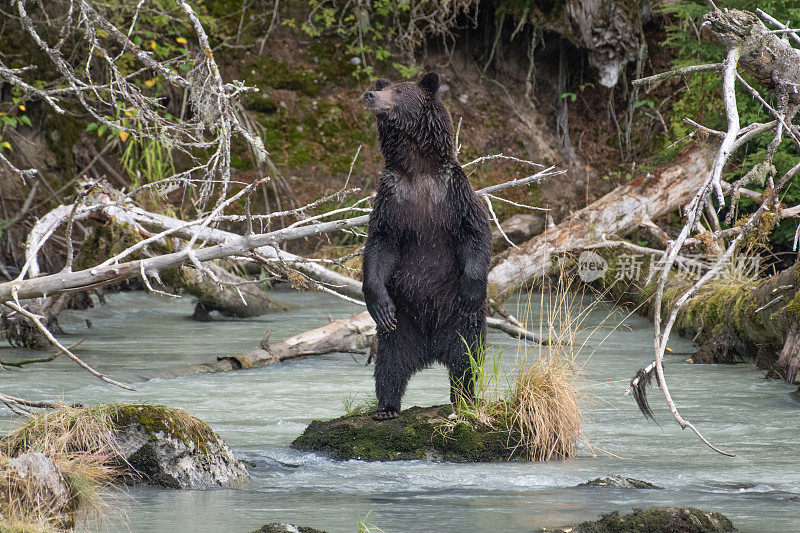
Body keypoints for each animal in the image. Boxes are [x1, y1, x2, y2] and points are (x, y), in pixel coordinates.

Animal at [364, 72, 490, 420]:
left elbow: (475, 233)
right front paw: (377, 302)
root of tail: (431, 349)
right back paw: (386, 407)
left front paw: (472, 289)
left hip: (457, 321)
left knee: (465, 357)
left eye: (398, 90)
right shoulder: (392, 201)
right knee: (390, 363)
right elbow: (380, 246)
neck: (418, 168)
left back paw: (464, 400)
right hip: (404, 322)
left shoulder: (454, 194)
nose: (369, 94)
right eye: (382, 87)